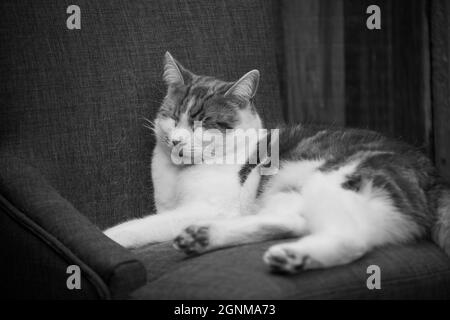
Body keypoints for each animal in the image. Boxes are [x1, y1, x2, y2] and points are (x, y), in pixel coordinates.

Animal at [104, 52, 450, 272]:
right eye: (173, 117)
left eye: (203, 123)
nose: (175, 140)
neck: (179, 174)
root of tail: (435, 177)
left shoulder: (209, 207)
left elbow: (145, 225)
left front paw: (111, 237)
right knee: (293, 223)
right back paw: (203, 238)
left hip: (335, 181)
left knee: (350, 240)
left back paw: (293, 257)